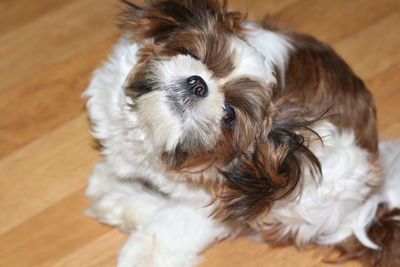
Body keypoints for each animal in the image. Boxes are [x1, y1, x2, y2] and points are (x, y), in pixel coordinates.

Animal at [83, 1, 398, 266]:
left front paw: (144, 254)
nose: (198, 84)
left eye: (229, 114)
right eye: (192, 55)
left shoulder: (226, 199)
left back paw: (125, 202)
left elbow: (178, 225)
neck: (154, 136)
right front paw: (116, 175)